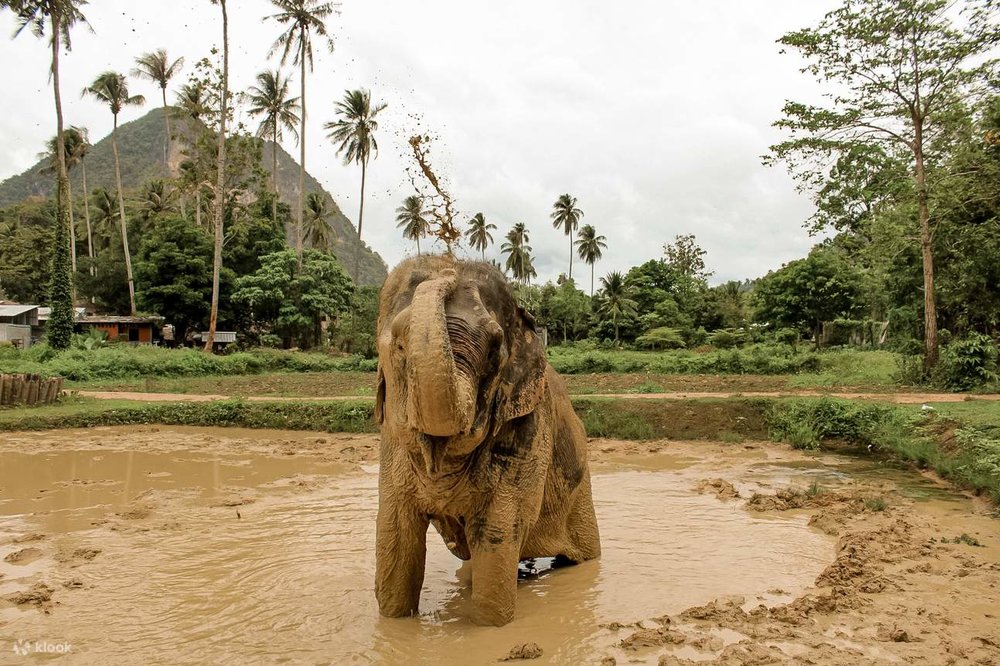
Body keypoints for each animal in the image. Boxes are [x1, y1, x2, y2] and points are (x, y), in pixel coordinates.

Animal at [374, 255, 601, 626]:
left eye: (495, 349)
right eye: (399, 345)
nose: (448, 268)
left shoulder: (528, 430)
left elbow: (497, 530)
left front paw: (488, 627)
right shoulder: (392, 443)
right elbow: (396, 534)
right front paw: (394, 625)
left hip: (580, 494)